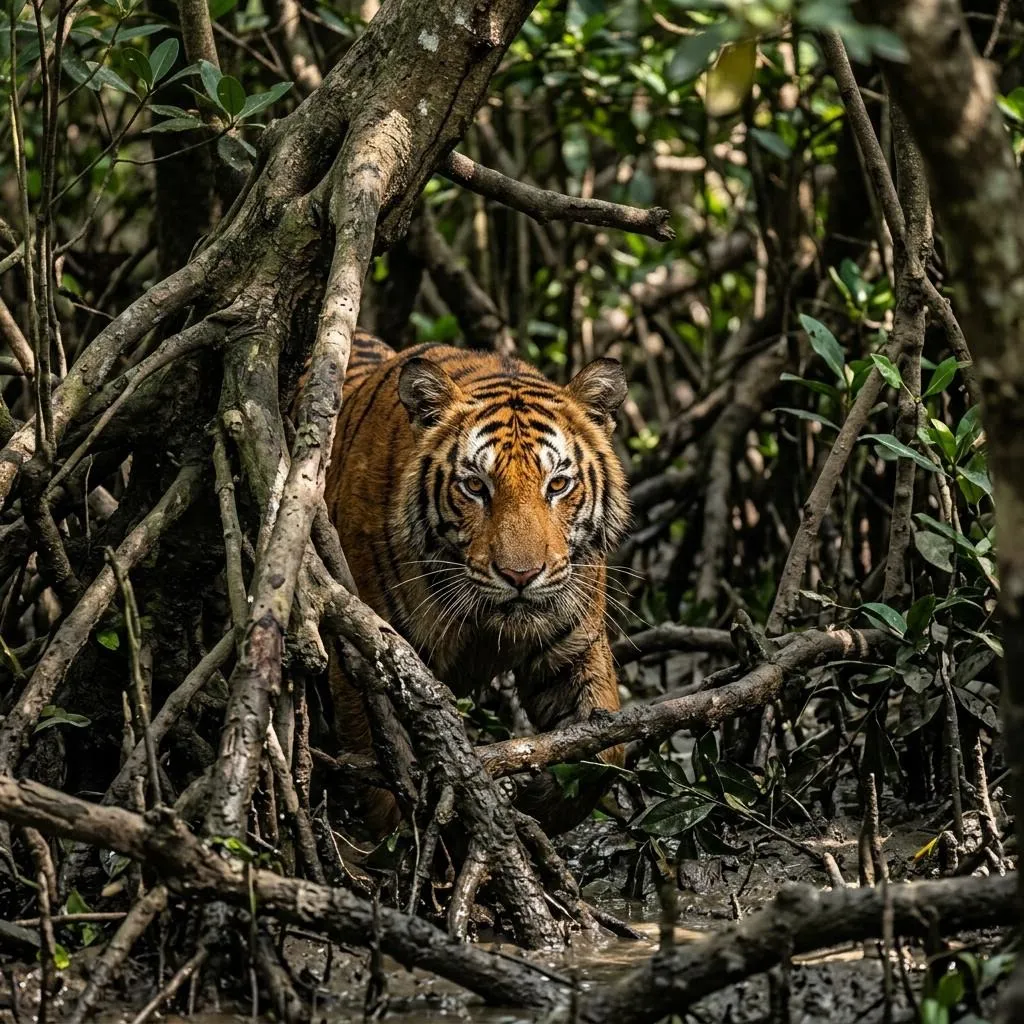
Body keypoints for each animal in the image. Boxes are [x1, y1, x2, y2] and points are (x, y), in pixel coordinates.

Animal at [324, 330, 631, 835]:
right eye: (475, 487)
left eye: (558, 485)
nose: (520, 575)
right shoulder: (362, 655)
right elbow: (379, 773)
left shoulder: (576, 647)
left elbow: (607, 748)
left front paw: (537, 800)